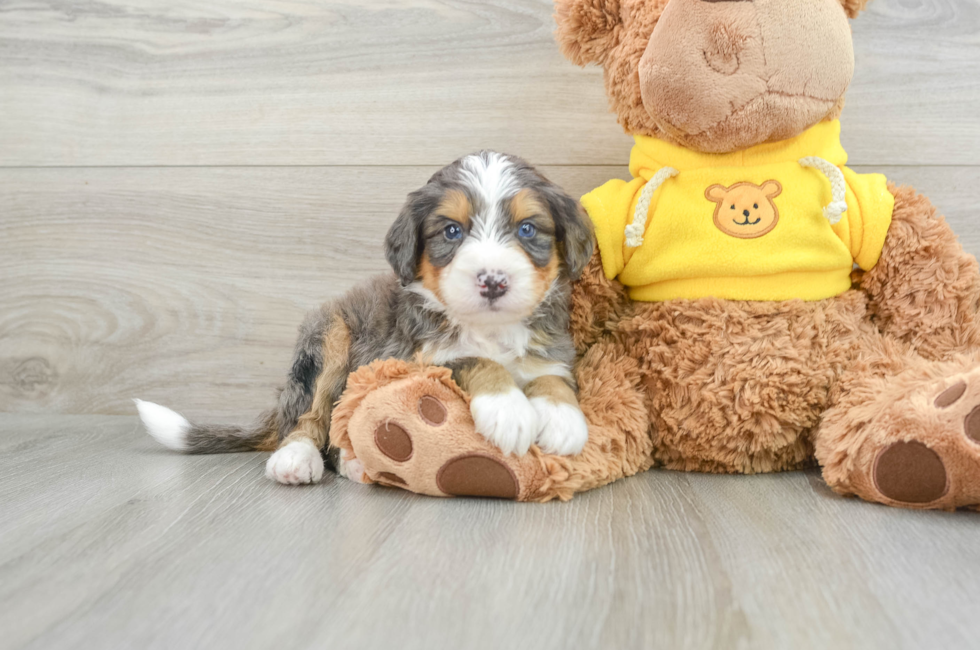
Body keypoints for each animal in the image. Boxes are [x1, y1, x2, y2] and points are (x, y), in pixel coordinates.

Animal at [136, 152, 596, 484]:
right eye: (452, 231)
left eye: (527, 230)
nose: (493, 282)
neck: (489, 327)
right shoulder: (412, 360)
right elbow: (473, 359)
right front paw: (509, 411)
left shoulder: (553, 346)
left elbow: (552, 376)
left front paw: (562, 419)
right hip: (330, 336)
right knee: (311, 419)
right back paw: (299, 459)